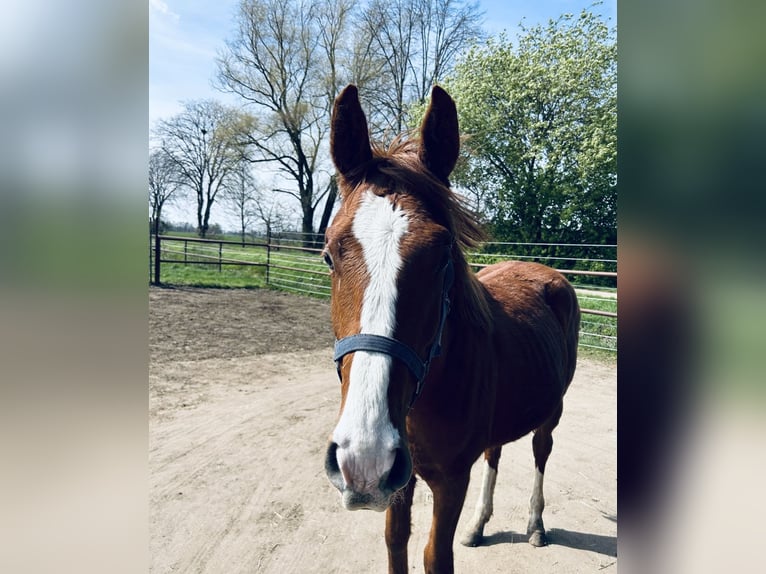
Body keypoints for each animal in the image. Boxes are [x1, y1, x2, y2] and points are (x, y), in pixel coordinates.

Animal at [322, 84, 580, 574]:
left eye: (443, 255)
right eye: (328, 255)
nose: (363, 459)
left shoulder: (451, 480)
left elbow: (434, 555)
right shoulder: (399, 481)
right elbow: (396, 542)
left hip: (551, 413)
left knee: (541, 453)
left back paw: (536, 525)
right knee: (496, 454)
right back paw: (478, 526)